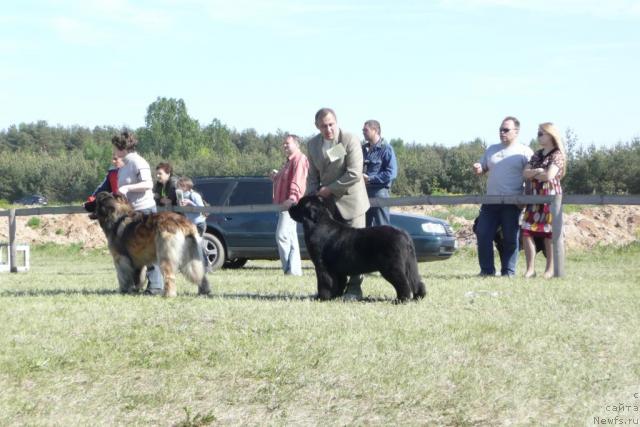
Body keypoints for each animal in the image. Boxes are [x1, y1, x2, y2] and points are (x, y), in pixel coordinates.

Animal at [288, 196, 424, 302]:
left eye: (299, 204)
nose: (290, 207)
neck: (318, 224)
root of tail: (403, 234)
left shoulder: (322, 265)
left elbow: (325, 282)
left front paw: (322, 297)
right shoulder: (338, 270)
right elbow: (338, 283)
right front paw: (335, 296)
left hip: (392, 267)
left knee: (403, 282)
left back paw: (401, 300)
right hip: (410, 265)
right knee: (416, 280)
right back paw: (418, 296)